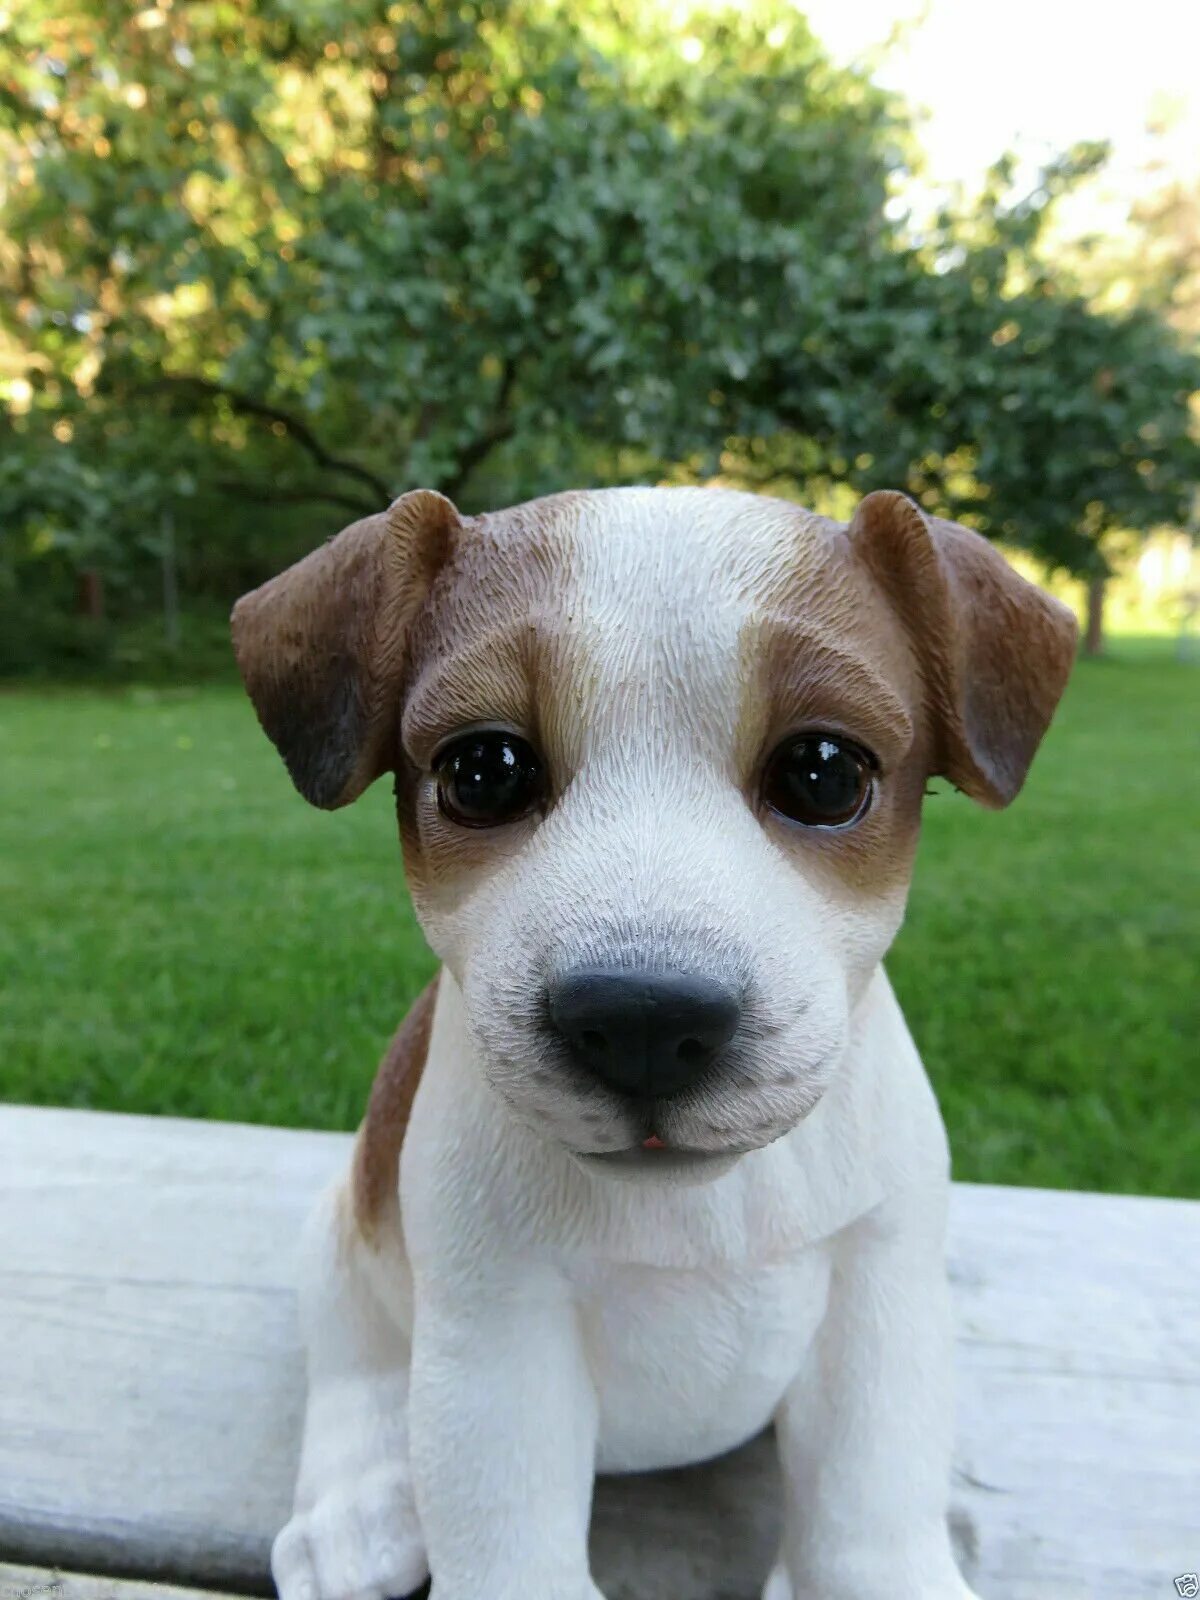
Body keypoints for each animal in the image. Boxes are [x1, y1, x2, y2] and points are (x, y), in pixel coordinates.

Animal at [230, 486, 1075, 1600]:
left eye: (823, 772)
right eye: (483, 770)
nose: (644, 1020)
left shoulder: (879, 1300)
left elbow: (865, 1510)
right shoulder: (496, 1345)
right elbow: (508, 1543)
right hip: (344, 1227)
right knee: (351, 1356)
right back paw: (355, 1506)